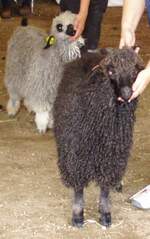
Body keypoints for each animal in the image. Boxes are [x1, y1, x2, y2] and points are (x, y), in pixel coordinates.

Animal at [53, 47, 144, 228]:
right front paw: (77, 216)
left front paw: (105, 214)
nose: (127, 94)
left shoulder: (111, 155)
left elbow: (105, 189)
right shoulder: (77, 152)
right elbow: (79, 187)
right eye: (111, 71)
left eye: (135, 71)